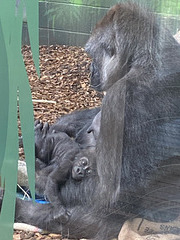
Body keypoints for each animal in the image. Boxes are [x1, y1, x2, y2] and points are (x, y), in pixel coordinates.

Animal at [2, 2, 180, 240]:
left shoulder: (123, 97)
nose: (90, 70)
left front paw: (37, 179)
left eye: (93, 55)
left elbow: (108, 194)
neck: (144, 61)